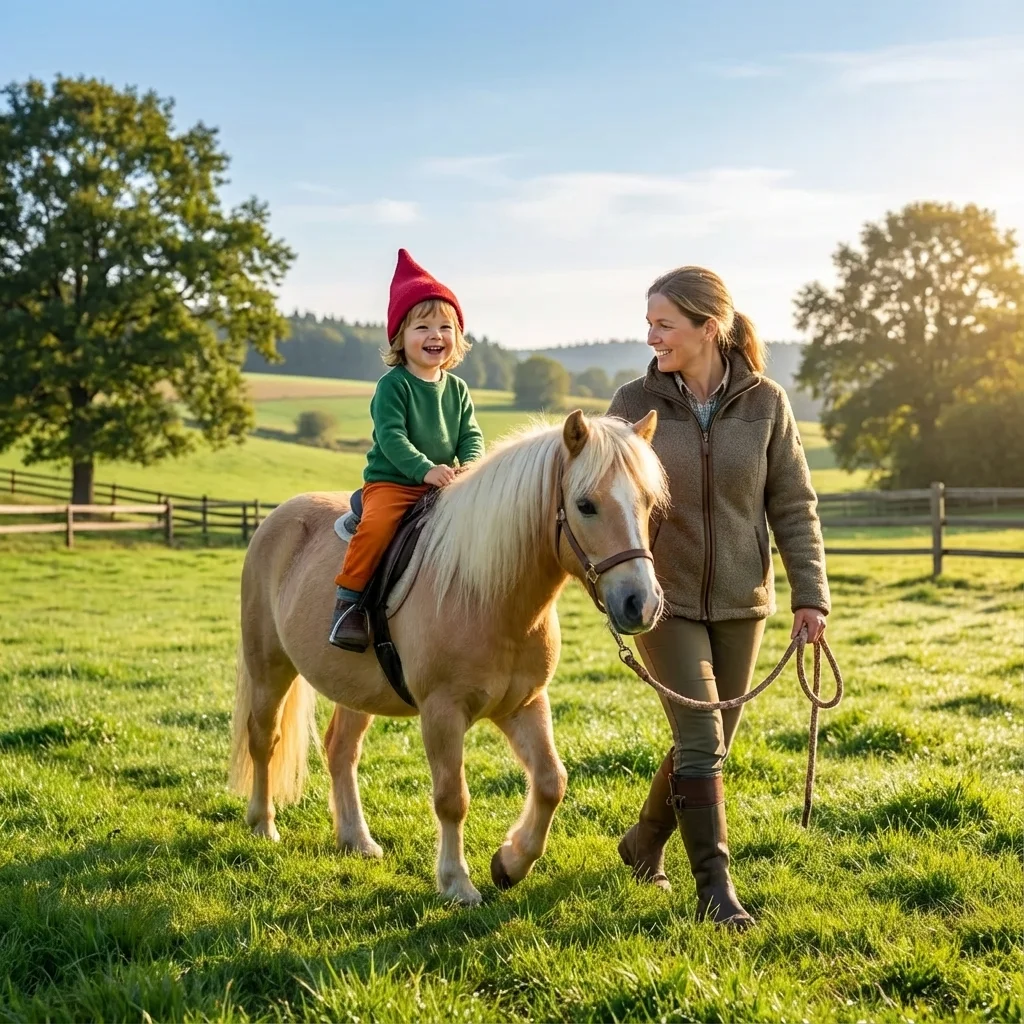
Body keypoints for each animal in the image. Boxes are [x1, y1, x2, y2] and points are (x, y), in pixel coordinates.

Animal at [228, 409, 667, 905]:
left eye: (647, 502)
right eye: (586, 505)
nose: (642, 604)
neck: (487, 595)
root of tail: (275, 519)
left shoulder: (524, 703)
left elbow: (551, 781)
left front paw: (511, 862)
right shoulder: (442, 712)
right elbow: (452, 798)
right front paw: (457, 882)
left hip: (356, 691)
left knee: (340, 750)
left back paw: (356, 839)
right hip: (269, 667)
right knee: (263, 739)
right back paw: (263, 824)